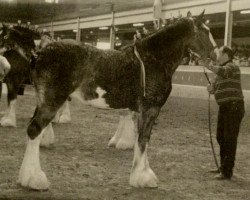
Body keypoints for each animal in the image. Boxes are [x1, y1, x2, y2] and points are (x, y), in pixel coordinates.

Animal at [0, 10, 217, 189]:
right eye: (205, 32)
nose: (216, 55)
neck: (153, 60)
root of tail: (40, 52)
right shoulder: (151, 109)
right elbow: (143, 139)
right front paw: (142, 178)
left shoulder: (139, 110)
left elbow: (141, 139)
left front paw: (141, 171)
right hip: (52, 100)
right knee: (34, 130)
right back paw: (34, 179)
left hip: (44, 100)